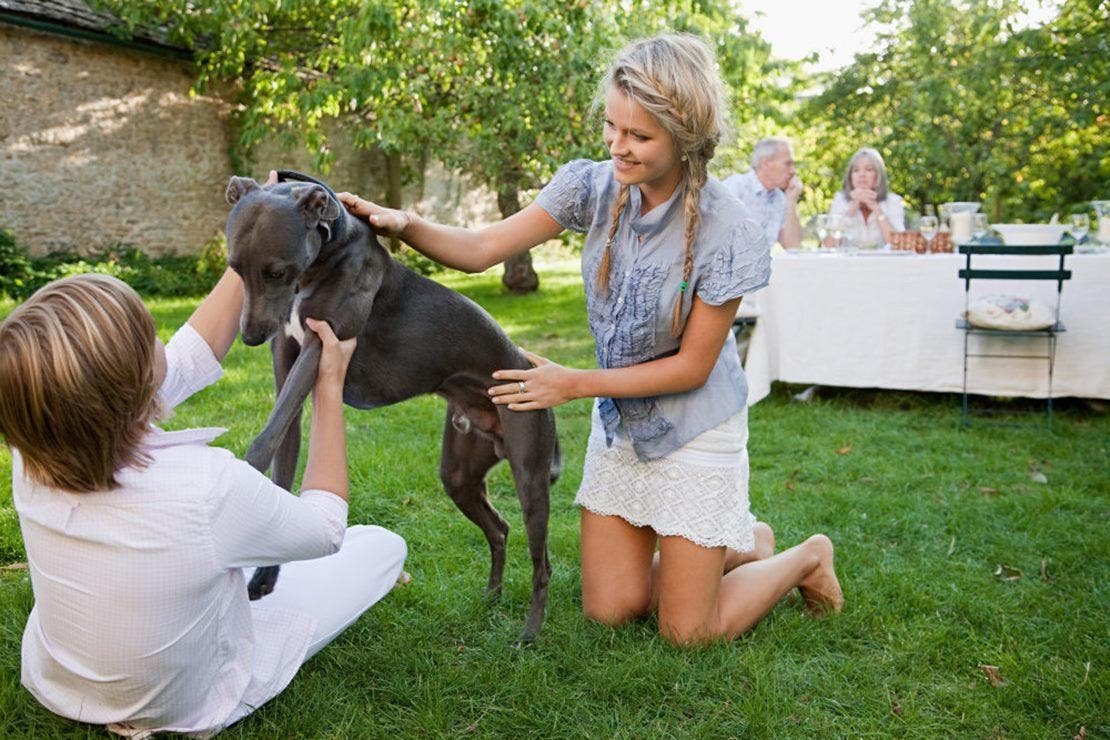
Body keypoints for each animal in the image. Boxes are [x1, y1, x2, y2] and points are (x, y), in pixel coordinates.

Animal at [223, 169, 563, 643]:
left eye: (277, 271)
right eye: (235, 268)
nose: (251, 338)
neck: (327, 255)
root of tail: (526, 366)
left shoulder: (321, 346)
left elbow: (266, 436)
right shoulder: (288, 369)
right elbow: (281, 447)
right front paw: (264, 577)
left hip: (530, 472)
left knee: (542, 563)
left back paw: (529, 634)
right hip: (460, 475)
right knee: (499, 529)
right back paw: (492, 596)